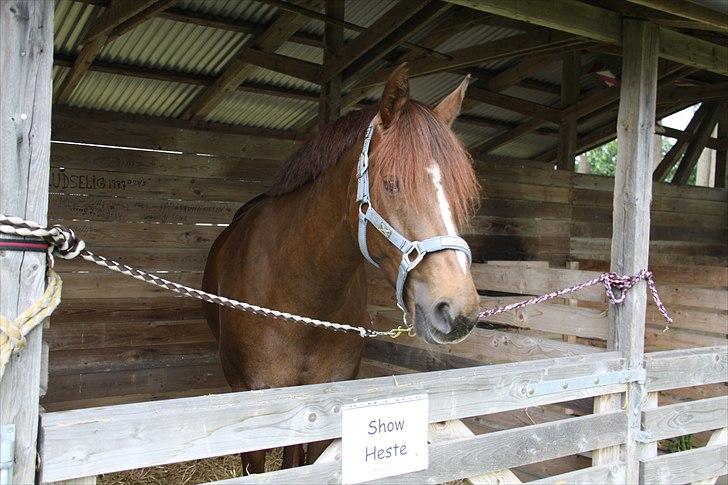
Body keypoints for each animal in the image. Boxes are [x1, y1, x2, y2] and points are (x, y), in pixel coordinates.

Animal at [202, 64, 480, 472]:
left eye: (460, 193)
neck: (299, 295)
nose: (457, 311)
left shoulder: (324, 404)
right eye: (391, 184)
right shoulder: (251, 405)